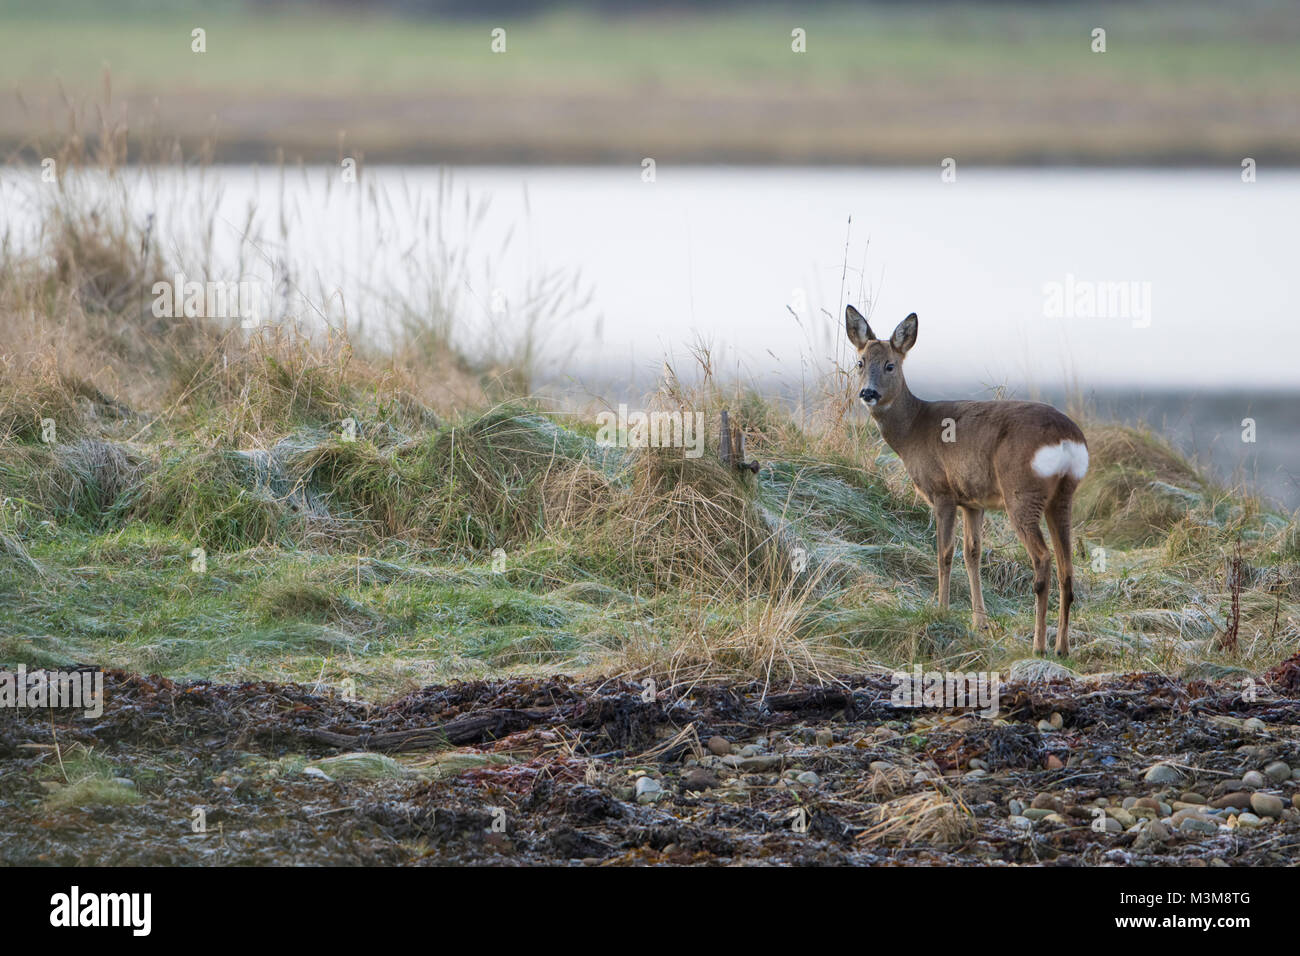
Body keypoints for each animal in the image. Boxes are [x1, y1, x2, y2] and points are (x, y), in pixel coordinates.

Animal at [847, 306, 1092, 658]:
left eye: (890, 365)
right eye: (860, 362)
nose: (868, 393)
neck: (913, 429)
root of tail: (1067, 439)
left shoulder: (943, 492)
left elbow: (944, 552)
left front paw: (941, 610)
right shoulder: (973, 501)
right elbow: (972, 553)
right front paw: (981, 623)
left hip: (1021, 493)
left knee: (1043, 559)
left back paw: (1038, 645)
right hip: (1063, 495)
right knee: (1066, 566)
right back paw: (1062, 648)